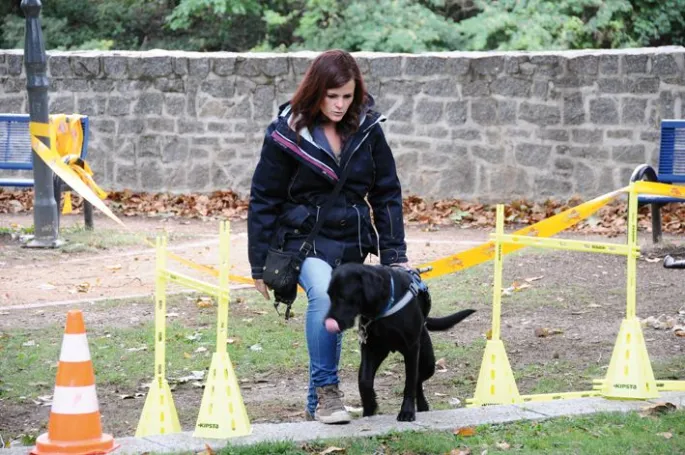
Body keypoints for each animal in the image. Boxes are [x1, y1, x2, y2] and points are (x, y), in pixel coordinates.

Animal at [324, 264, 472, 424]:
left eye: (343, 297)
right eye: (329, 296)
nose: (326, 321)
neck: (385, 305)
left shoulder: (412, 349)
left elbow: (410, 382)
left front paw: (407, 411)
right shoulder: (370, 348)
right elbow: (364, 381)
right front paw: (370, 407)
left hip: (428, 363)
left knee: (418, 380)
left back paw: (422, 405)